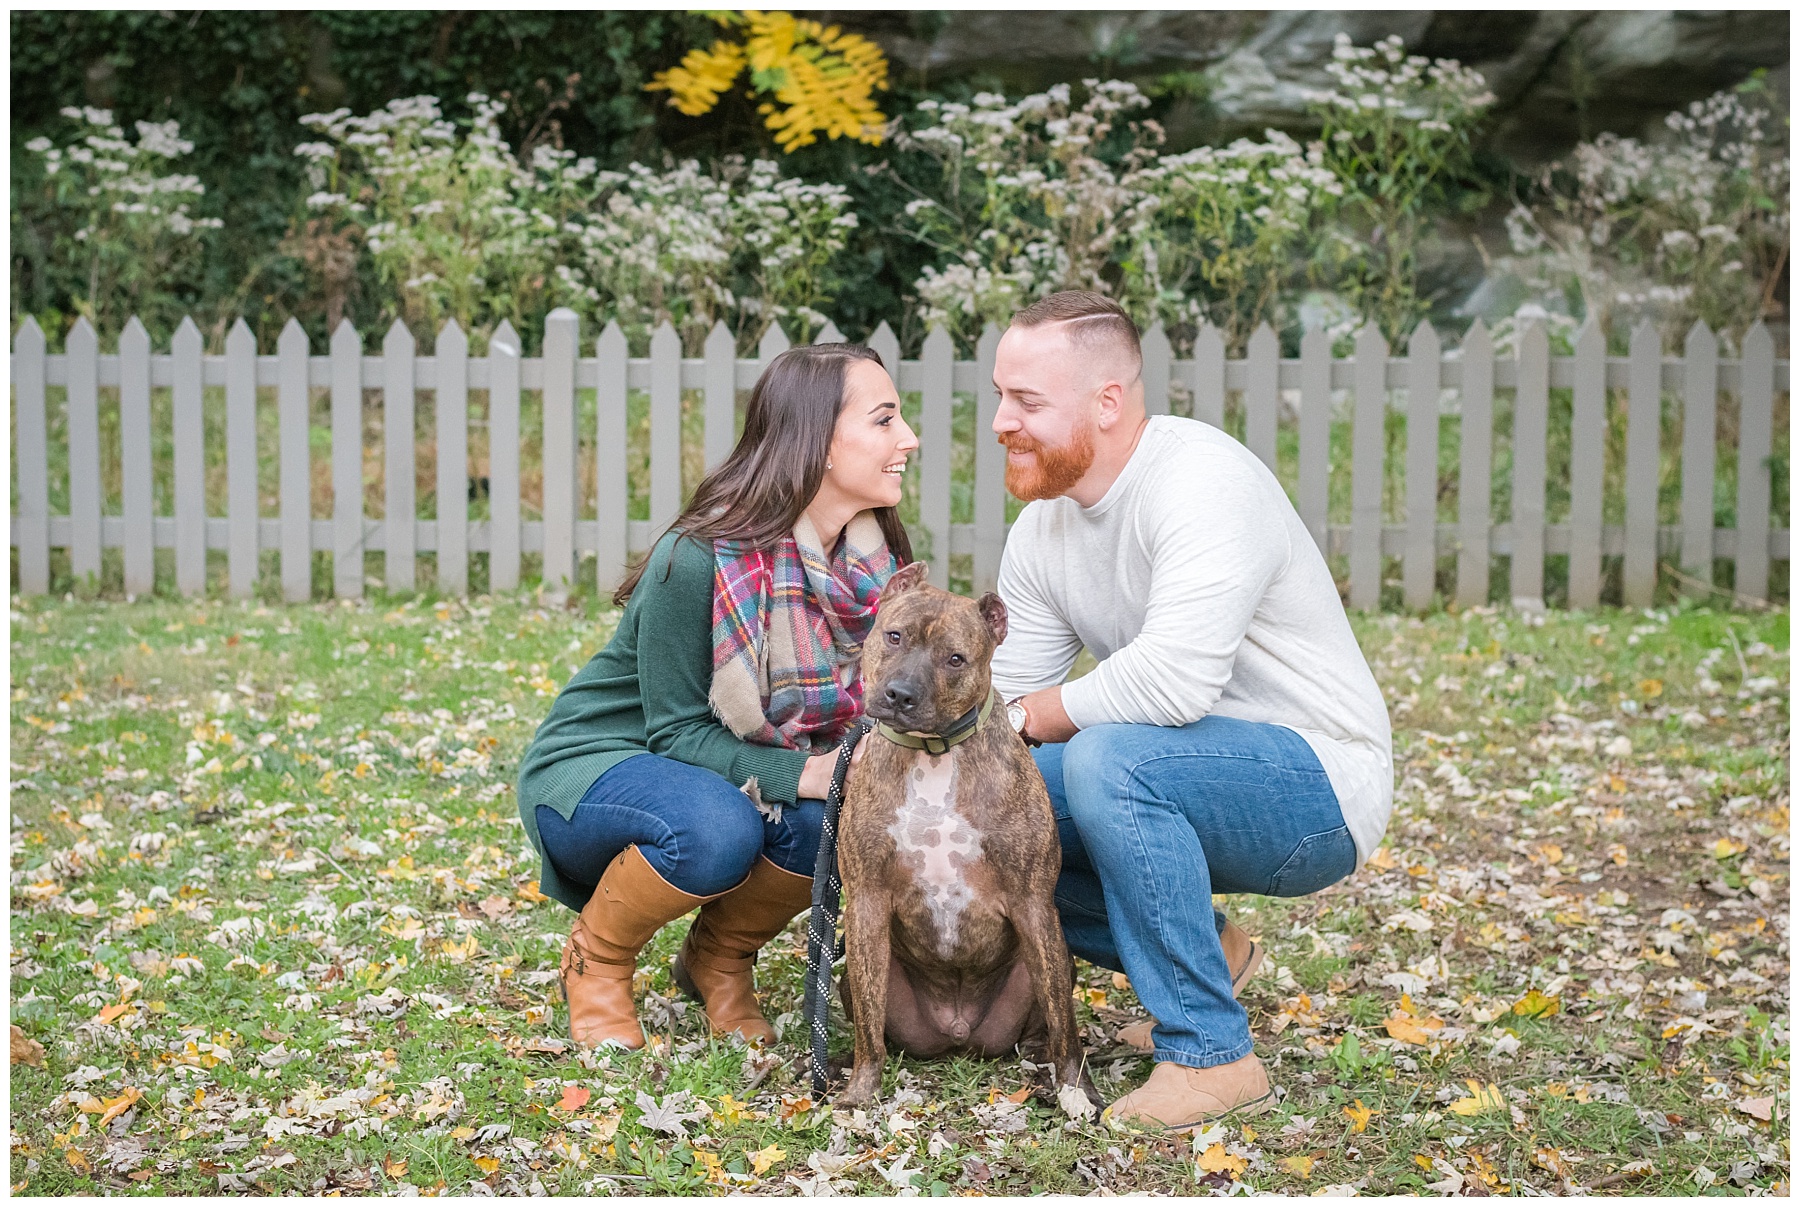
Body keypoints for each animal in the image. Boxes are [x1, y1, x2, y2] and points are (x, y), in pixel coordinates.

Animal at [831, 561, 1094, 1108]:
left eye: (955, 659)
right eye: (894, 636)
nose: (900, 694)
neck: (934, 752)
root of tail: (958, 1034)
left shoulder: (1034, 902)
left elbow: (1065, 1023)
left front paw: (1077, 1092)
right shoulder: (866, 902)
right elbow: (868, 1023)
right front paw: (861, 1089)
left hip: (1049, 961)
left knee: (1048, 1016)